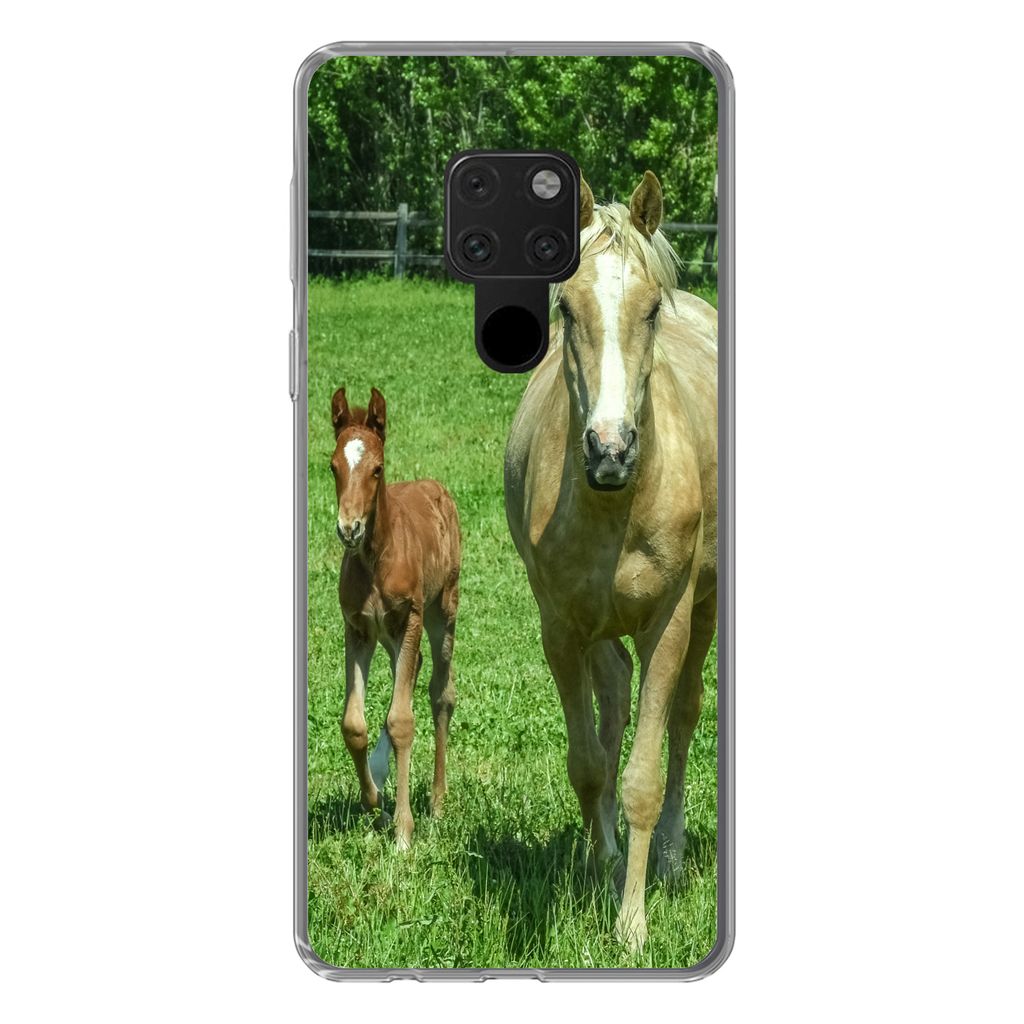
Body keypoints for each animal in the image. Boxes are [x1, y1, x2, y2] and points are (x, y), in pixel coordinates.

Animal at [330, 387, 461, 849]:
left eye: (377, 468)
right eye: (332, 466)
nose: (348, 528)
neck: (376, 557)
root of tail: (436, 486)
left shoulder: (410, 619)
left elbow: (402, 719)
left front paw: (404, 830)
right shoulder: (357, 627)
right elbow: (354, 723)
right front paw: (377, 803)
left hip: (441, 611)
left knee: (440, 692)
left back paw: (437, 803)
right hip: (389, 634)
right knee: (410, 671)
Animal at [503, 172, 718, 950]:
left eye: (649, 309)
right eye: (567, 307)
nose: (610, 449)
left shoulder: (668, 622)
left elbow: (643, 779)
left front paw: (631, 924)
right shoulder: (560, 629)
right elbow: (590, 764)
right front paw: (602, 871)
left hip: (704, 610)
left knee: (683, 717)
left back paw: (673, 862)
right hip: (596, 628)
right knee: (614, 702)